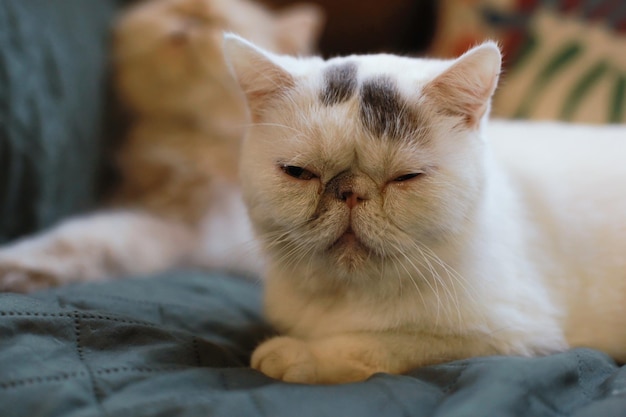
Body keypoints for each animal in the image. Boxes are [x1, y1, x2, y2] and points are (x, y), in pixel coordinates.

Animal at [221, 34, 624, 382]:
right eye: (299, 172)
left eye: (406, 177)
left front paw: (299, 355)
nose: (350, 192)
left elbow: (375, 345)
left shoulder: (513, 337)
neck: (345, 299)